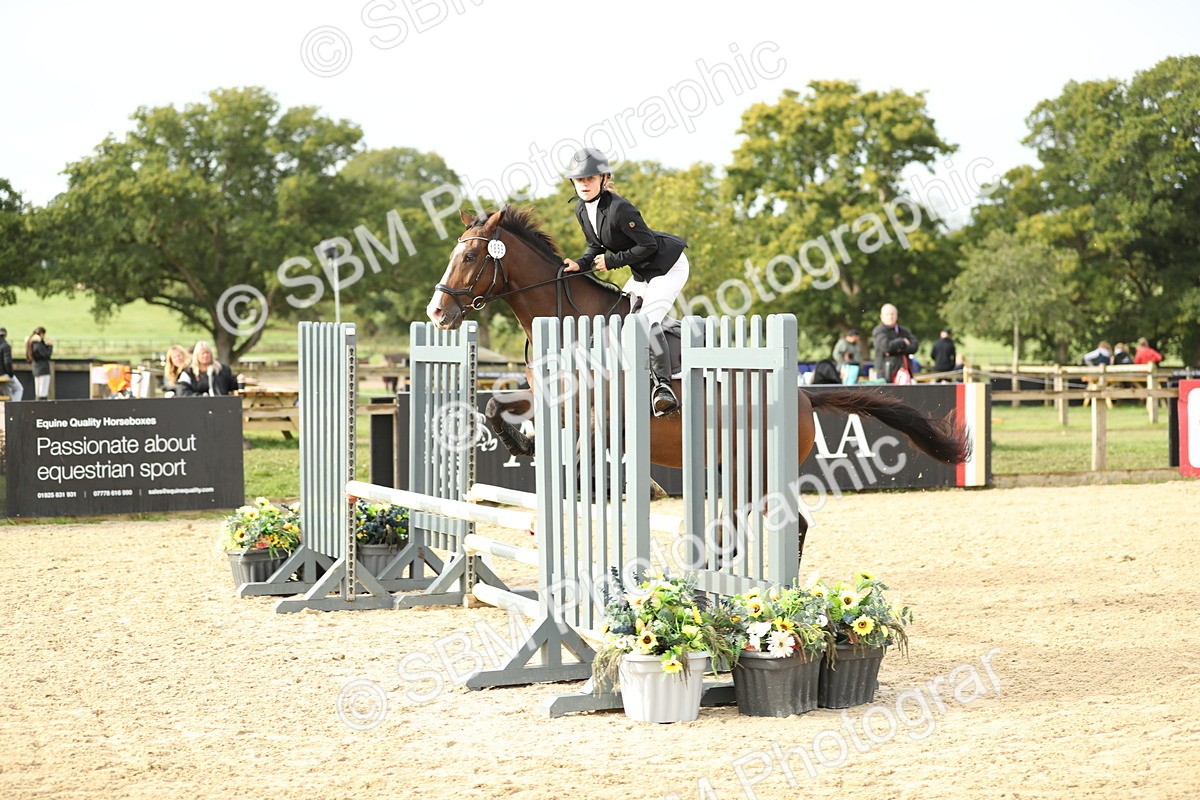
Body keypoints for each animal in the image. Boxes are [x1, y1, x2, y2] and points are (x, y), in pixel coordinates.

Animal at [426, 206, 971, 482]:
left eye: (471, 256)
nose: (436, 313)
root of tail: (801, 394)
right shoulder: (545, 396)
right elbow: (494, 405)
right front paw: (522, 443)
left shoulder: (599, 410)